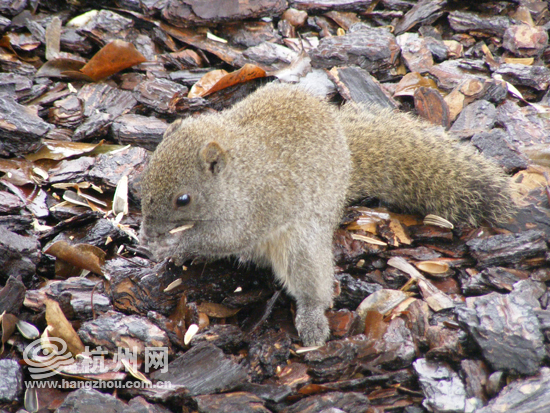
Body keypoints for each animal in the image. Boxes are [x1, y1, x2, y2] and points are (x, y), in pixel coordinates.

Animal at [139, 83, 516, 344]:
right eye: (147, 173)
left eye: (183, 199)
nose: (148, 230)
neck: (237, 173)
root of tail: (345, 154)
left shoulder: (257, 206)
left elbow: (224, 237)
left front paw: (170, 245)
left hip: (303, 246)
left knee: (311, 285)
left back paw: (312, 320)